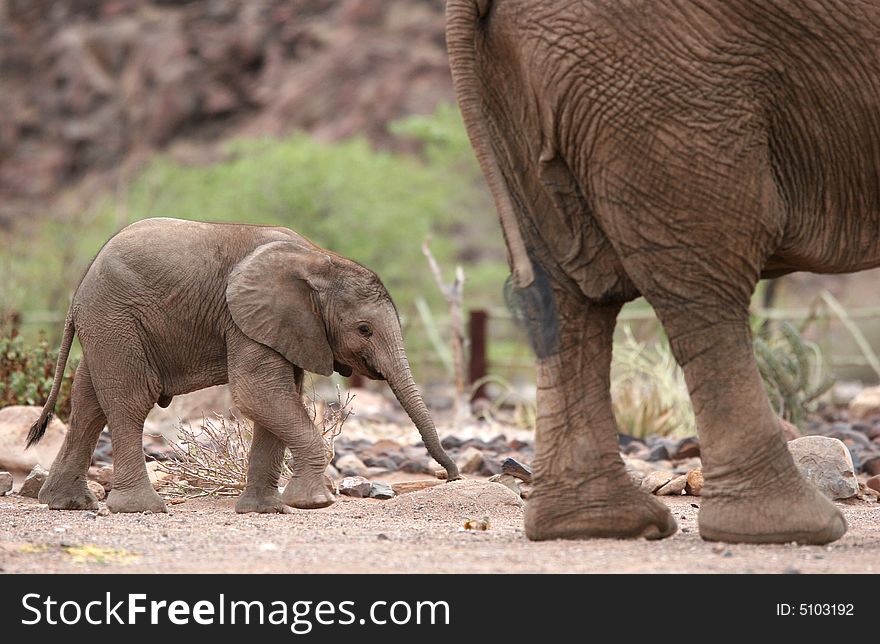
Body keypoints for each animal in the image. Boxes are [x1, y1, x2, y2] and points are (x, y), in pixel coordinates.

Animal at [27, 219, 460, 516]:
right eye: (364, 329)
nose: (453, 476)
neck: (318, 259)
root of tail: (78, 292)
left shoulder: (285, 328)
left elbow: (276, 400)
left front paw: (266, 510)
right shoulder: (246, 320)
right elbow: (258, 394)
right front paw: (314, 503)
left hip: (107, 326)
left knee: (88, 404)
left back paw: (67, 503)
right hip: (116, 319)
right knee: (130, 401)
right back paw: (141, 508)